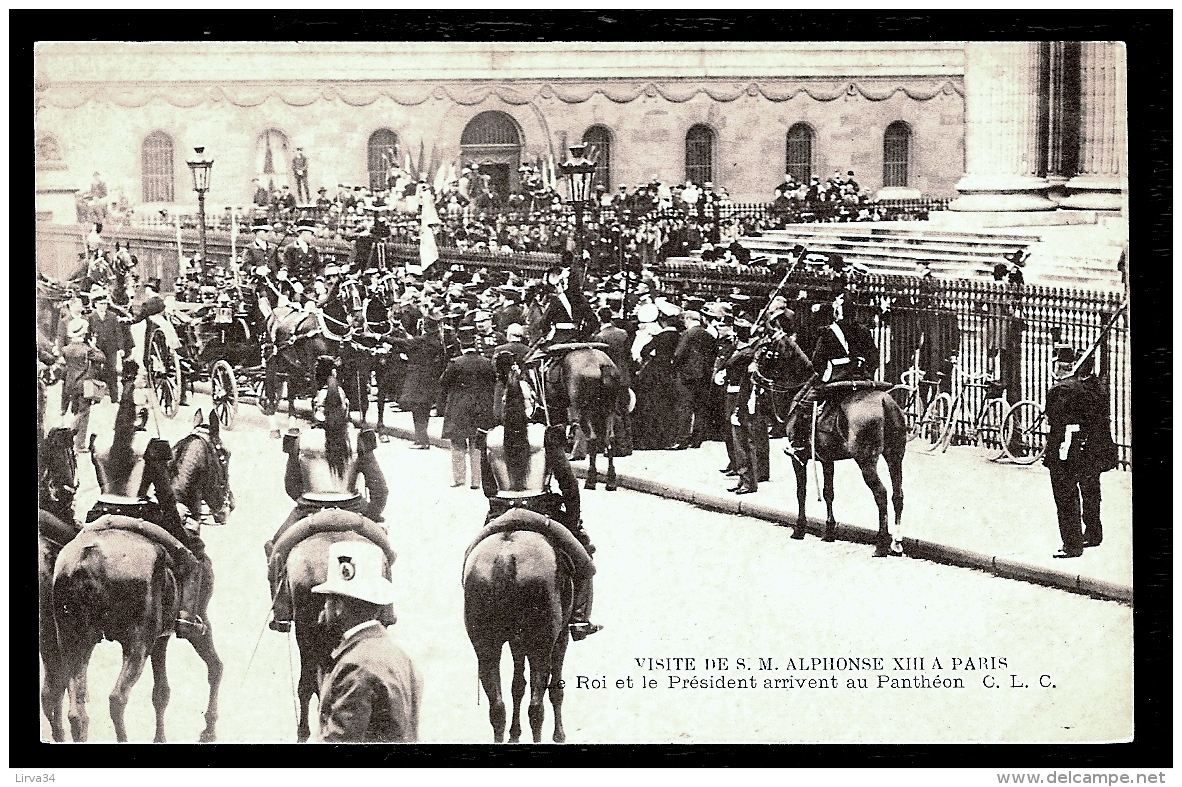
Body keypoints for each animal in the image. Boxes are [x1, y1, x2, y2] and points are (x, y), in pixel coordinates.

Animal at [47, 406, 234, 737]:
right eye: (223, 456)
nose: (229, 506)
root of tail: (88, 558)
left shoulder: (161, 638)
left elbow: (161, 693)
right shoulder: (198, 623)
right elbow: (216, 668)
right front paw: (208, 730)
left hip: (74, 640)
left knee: (75, 710)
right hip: (135, 644)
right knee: (116, 700)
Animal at [460, 527, 572, 742]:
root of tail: (506, 556)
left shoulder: (516, 642)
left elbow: (517, 686)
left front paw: (514, 733)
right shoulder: (562, 636)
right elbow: (556, 689)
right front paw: (559, 736)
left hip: (486, 647)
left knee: (497, 707)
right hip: (541, 647)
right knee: (536, 707)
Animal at [756, 328, 903, 555]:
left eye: (764, 348)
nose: (753, 374)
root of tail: (884, 401)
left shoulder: (798, 458)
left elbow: (801, 491)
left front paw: (799, 529)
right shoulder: (827, 459)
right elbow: (828, 493)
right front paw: (829, 531)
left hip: (866, 461)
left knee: (881, 494)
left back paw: (881, 544)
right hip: (895, 456)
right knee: (898, 495)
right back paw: (897, 542)